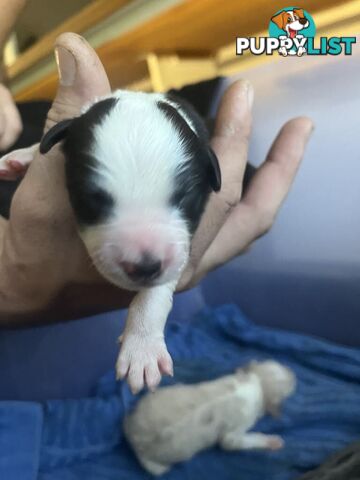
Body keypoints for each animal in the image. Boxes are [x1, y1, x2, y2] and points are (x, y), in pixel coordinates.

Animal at [0, 91, 219, 394]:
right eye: (90, 201)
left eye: (187, 199)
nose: (144, 267)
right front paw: (23, 155)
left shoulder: (178, 250)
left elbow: (156, 291)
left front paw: (142, 349)